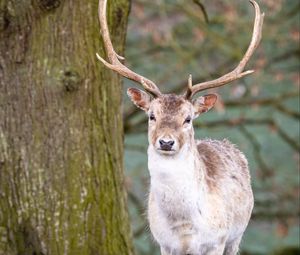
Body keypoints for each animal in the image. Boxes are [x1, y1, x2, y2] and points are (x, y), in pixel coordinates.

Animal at [96, 0, 264, 254]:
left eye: (188, 119)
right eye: (151, 116)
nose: (166, 142)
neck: (184, 227)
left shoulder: (217, 240)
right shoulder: (164, 243)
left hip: (237, 234)